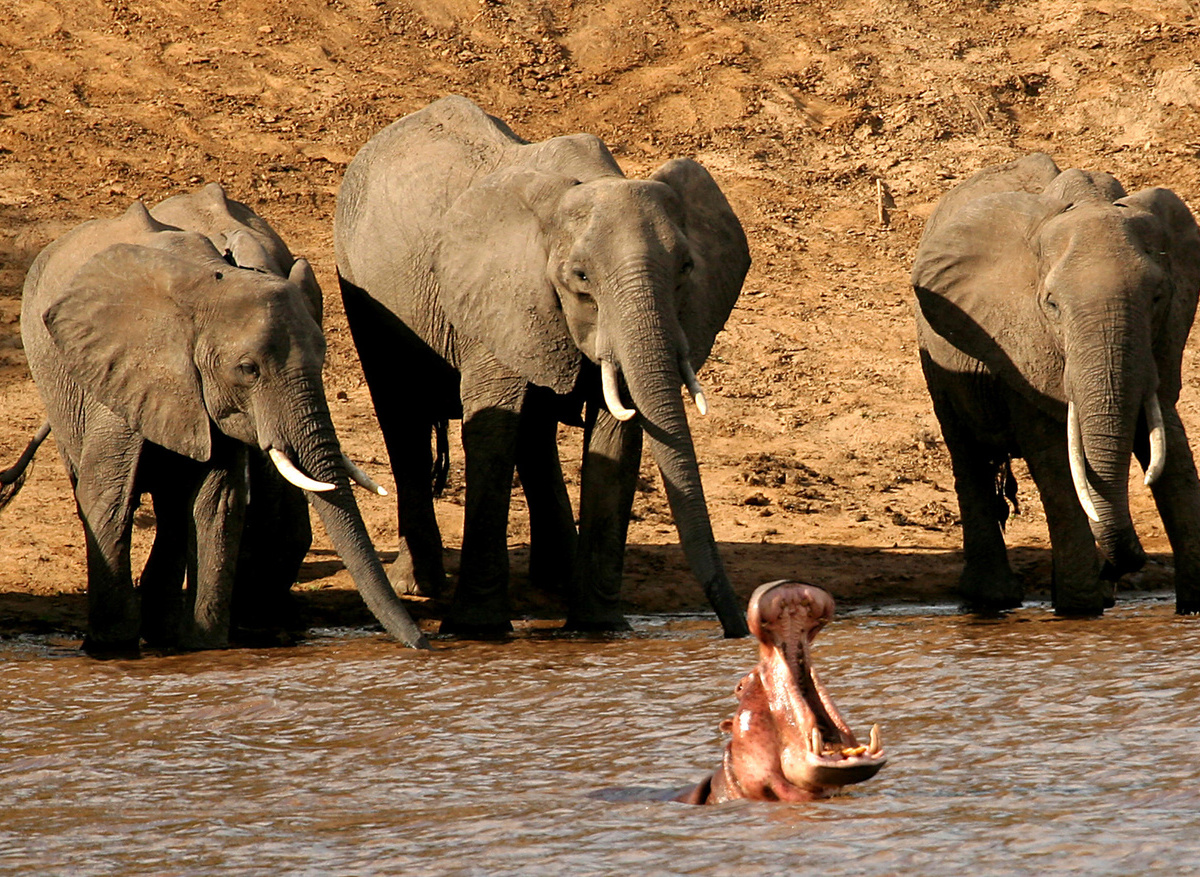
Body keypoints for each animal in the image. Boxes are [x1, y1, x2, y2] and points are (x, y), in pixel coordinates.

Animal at [15, 182, 429, 655]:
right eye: (248, 369)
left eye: (322, 358)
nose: (423, 643)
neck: (208, 285)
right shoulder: (121, 373)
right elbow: (108, 496)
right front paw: (111, 650)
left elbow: (217, 502)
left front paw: (203, 648)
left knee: (176, 509)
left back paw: (164, 634)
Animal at [334, 95, 751, 637]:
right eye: (581, 277)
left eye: (686, 269)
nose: (737, 628)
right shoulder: (496, 294)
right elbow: (492, 429)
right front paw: (477, 631)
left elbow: (617, 438)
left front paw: (599, 628)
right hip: (362, 289)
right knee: (400, 414)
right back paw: (418, 585)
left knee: (534, 431)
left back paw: (556, 577)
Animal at [912, 153, 1200, 616]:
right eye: (1051, 305)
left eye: (1158, 297)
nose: (1116, 568)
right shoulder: (1018, 340)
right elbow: (1055, 458)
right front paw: (1080, 608)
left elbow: (1172, 451)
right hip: (936, 357)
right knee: (966, 452)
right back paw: (992, 599)